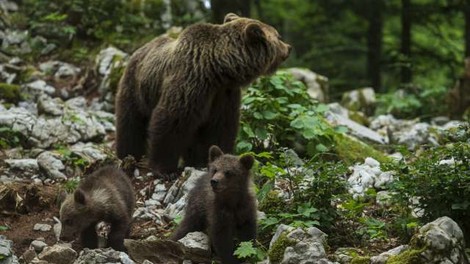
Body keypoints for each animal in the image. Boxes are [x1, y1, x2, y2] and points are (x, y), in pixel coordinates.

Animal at [114, 12, 290, 177]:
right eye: (278, 36)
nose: (288, 47)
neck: (217, 70)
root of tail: (139, 50)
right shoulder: (190, 82)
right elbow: (171, 121)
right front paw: (166, 170)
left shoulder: (223, 94)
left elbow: (220, 127)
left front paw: (209, 161)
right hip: (135, 87)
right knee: (130, 123)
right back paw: (127, 155)